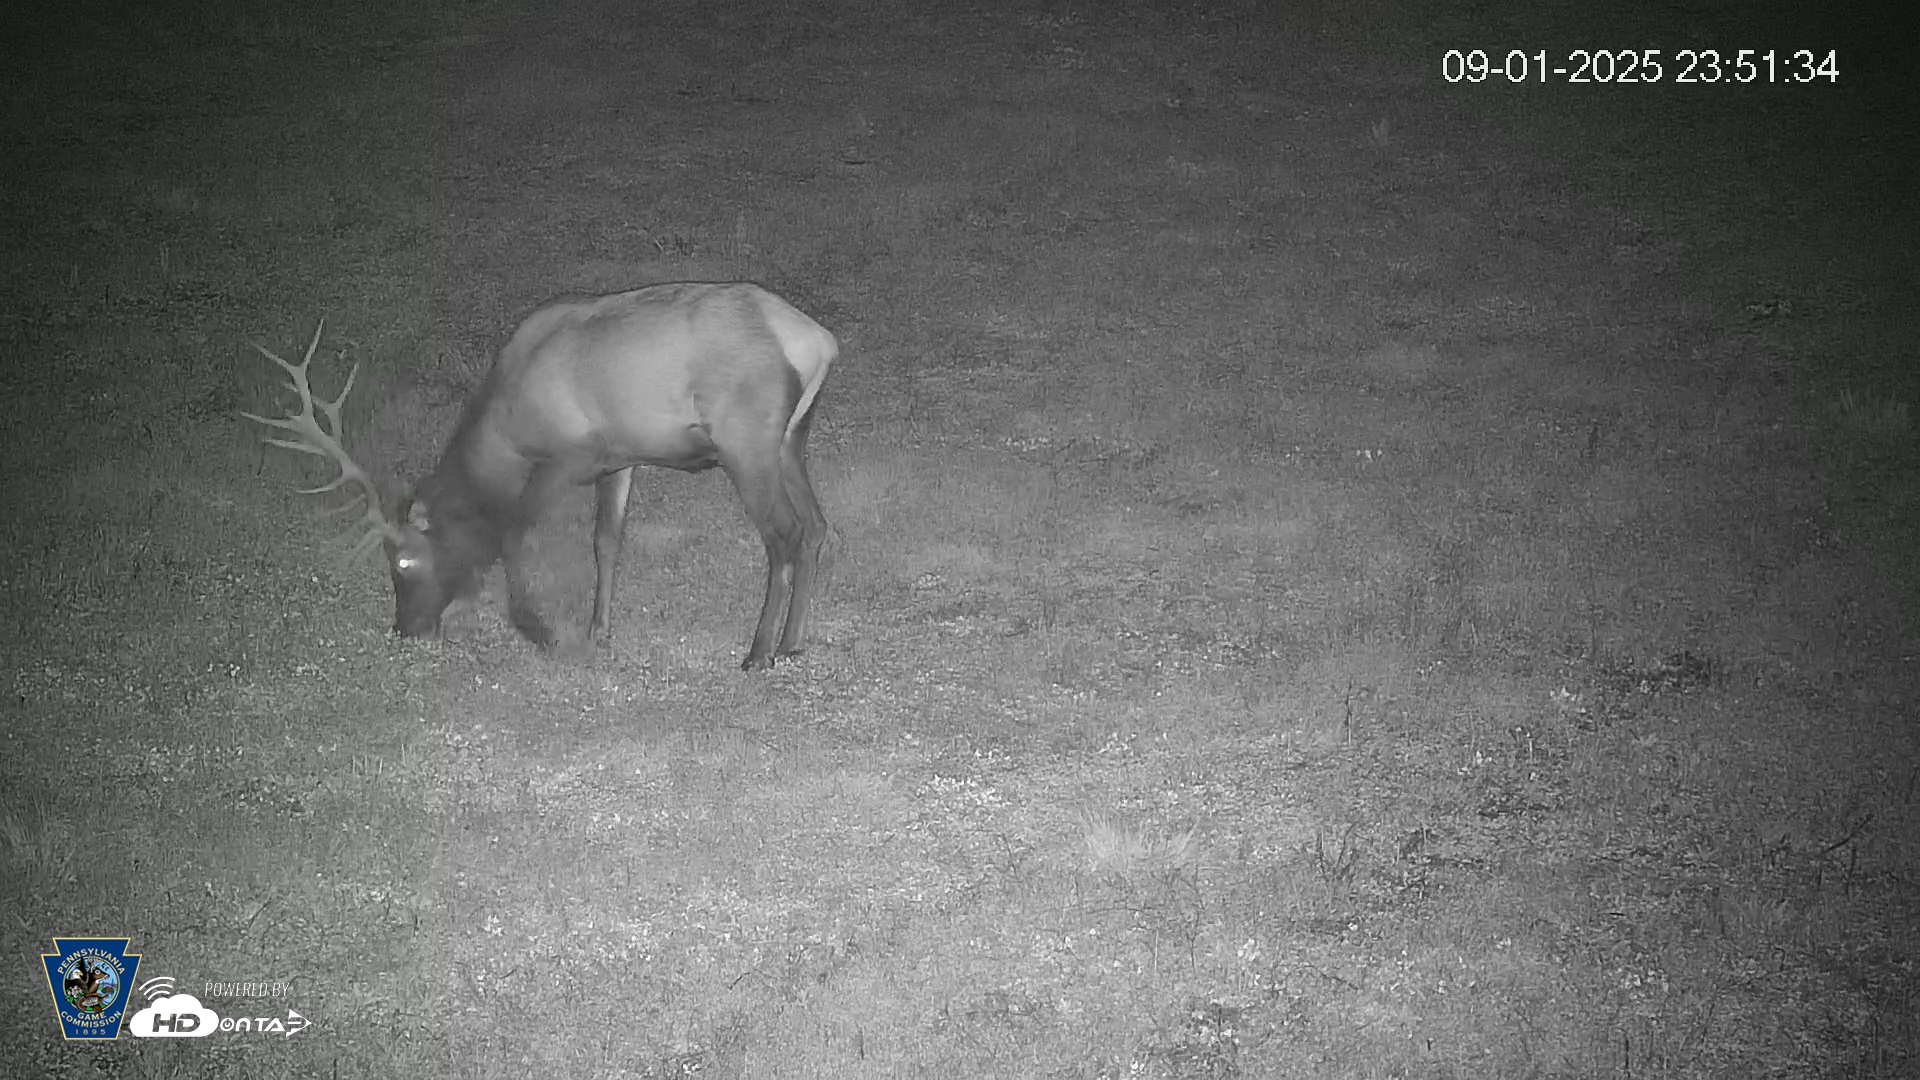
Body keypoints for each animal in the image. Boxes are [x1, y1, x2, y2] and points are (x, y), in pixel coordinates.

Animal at [244, 282, 836, 671]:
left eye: (403, 561)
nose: (404, 629)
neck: (507, 429)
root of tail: (818, 342)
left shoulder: (571, 453)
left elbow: (514, 534)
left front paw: (541, 630)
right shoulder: (621, 454)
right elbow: (606, 539)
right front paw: (598, 631)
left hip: (746, 441)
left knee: (783, 535)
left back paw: (758, 653)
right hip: (790, 439)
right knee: (816, 526)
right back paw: (793, 643)